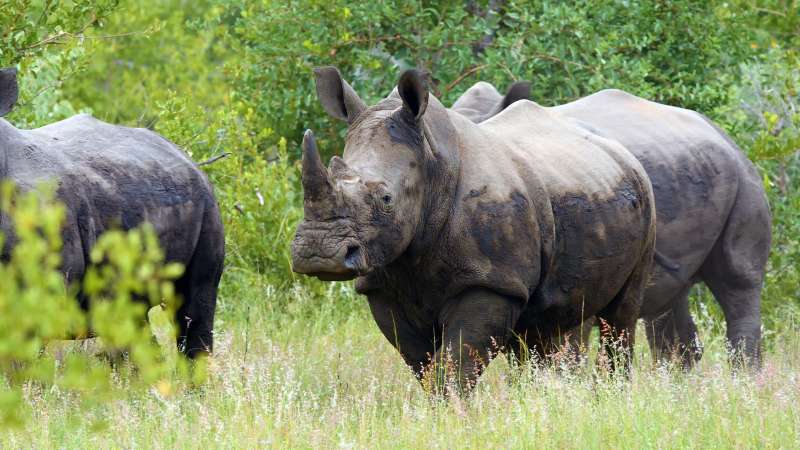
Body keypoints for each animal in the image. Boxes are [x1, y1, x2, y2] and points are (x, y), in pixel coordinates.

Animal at [291, 67, 657, 389]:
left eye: (386, 198)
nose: (318, 253)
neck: (432, 164)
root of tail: (621, 151)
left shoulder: (490, 282)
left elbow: (455, 365)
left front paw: (450, 413)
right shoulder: (383, 283)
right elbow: (423, 365)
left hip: (646, 198)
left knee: (619, 317)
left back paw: (612, 393)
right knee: (537, 331)